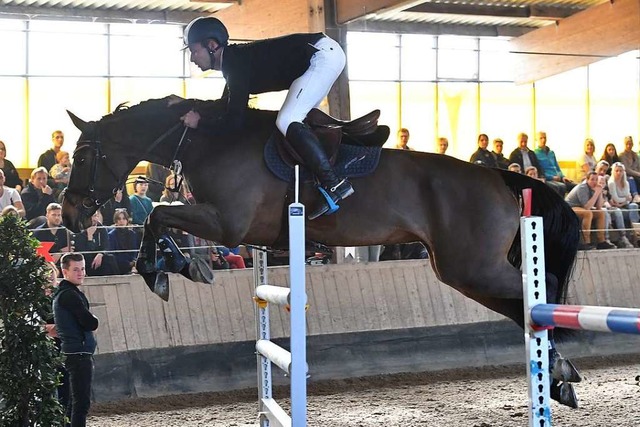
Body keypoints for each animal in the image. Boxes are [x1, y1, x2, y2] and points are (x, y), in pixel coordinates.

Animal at [62, 96, 584, 408]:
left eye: (85, 156)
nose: (69, 215)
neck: (209, 141)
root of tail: (499, 176)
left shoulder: (227, 222)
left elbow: (157, 214)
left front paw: (162, 271)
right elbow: (159, 216)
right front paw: (177, 265)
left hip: (471, 267)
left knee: (538, 292)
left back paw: (559, 367)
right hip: (460, 268)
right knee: (523, 304)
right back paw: (558, 375)